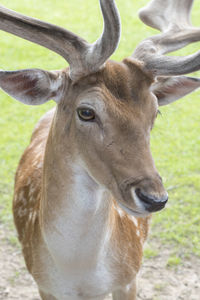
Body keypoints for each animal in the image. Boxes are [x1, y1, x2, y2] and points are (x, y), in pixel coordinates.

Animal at [0, 0, 199, 298]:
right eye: (86, 111)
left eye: (155, 112)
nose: (155, 198)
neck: (79, 273)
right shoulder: (44, 284)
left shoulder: (129, 277)